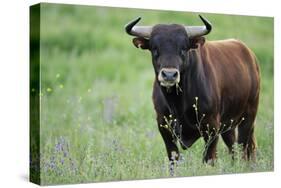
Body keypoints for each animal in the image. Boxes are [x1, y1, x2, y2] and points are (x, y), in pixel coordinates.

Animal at [123, 15, 260, 169]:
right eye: (154, 48)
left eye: (183, 48)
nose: (169, 75)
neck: (178, 103)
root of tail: (249, 55)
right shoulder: (164, 126)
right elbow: (173, 158)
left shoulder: (212, 127)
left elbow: (209, 158)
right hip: (229, 124)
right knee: (234, 148)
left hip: (248, 117)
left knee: (244, 147)